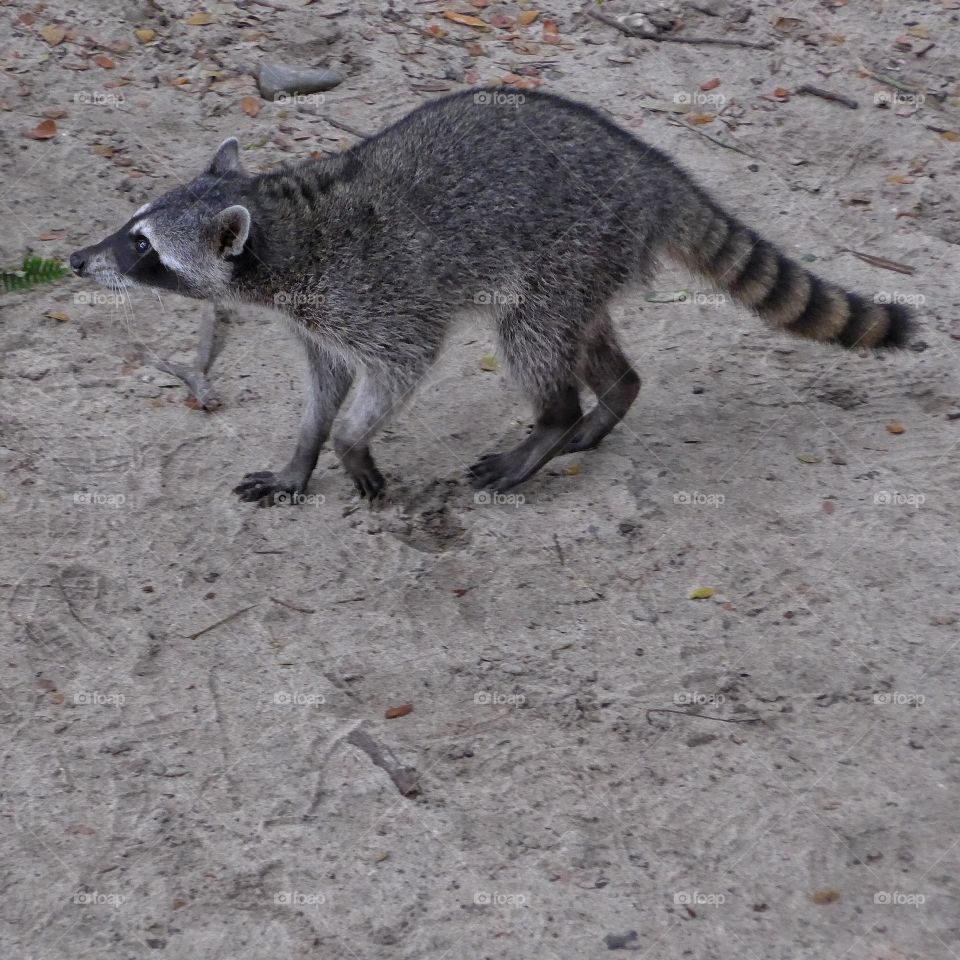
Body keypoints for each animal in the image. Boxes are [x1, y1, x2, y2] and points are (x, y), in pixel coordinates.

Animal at [71, 89, 912, 502]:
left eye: (141, 248)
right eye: (129, 228)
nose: (79, 259)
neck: (283, 227)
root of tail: (648, 167)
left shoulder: (373, 299)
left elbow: (399, 367)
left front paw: (351, 443)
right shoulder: (314, 320)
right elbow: (325, 383)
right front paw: (303, 452)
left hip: (570, 247)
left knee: (532, 338)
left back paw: (555, 420)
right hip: (588, 265)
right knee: (586, 339)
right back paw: (610, 397)